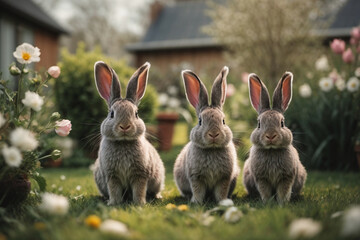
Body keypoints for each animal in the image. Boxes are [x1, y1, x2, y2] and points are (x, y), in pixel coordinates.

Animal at [93, 61, 166, 205]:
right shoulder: (112, 176)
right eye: (112, 114)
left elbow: (139, 190)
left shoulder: (140, 174)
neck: (123, 142)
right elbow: (114, 190)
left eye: (136, 114)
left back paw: (157, 197)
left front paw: (139, 203)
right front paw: (114, 203)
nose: (125, 126)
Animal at [174, 66, 240, 203]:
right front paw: (196, 202)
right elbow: (198, 190)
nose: (213, 134)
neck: (212, 149)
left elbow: (221, 191)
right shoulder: (195, 177)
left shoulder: (224, 178)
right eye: (200, 121)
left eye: (223, 121)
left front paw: (222, 202)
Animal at [242, 71, 306, 204]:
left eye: (282, 123)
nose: (270, 135)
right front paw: (268, 203)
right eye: (259, 123)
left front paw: (282, 203)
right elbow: (265, 191)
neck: (271, 150)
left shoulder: (286, 177)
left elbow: (283, 191)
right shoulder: (261, 178)